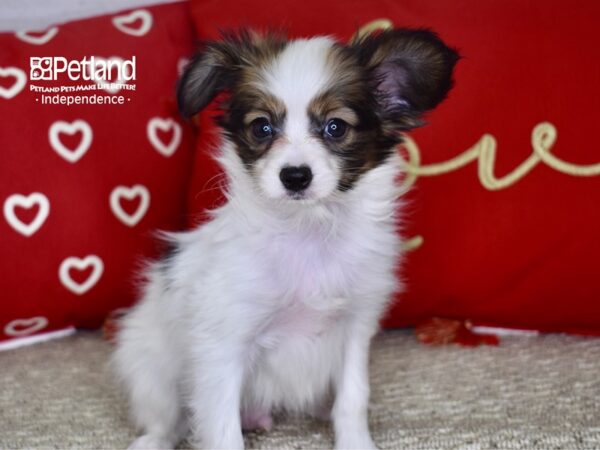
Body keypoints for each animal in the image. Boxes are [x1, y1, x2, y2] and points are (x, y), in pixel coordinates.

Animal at [113, 29, 460, 450]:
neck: (308, 230)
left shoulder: (356, 328)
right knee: (167, 421)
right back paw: (152, 440)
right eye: (262, 127)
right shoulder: (223, 343)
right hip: (149, 368)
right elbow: (222, 428)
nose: (295, 176)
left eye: (335, 127)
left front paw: (356, 442)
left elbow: (353, 399)